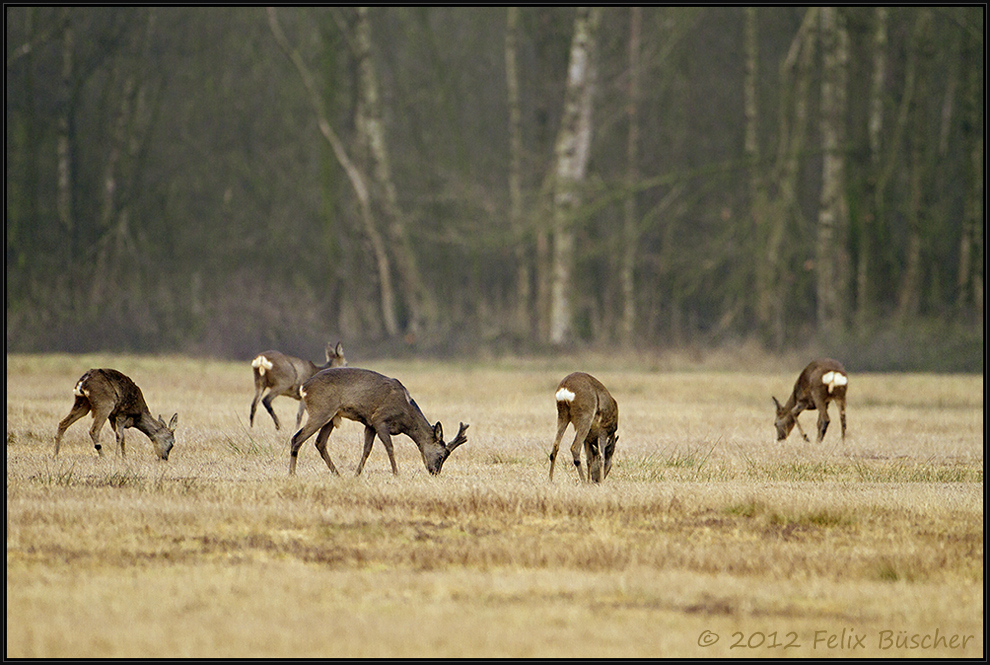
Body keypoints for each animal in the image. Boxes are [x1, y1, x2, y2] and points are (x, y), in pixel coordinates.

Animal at [288, 366, 470, 474]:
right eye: (441, 456)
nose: (434, 472)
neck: (406, 416)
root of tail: (304, 387)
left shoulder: (370, 424)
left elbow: (366, 450)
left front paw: (357, 474)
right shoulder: (379, 419)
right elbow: (390, 447)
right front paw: (396, 473)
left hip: (331, 417)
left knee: (320, 443)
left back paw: (338, 474)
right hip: (321, 410)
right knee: (297, 438)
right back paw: (292, 474)